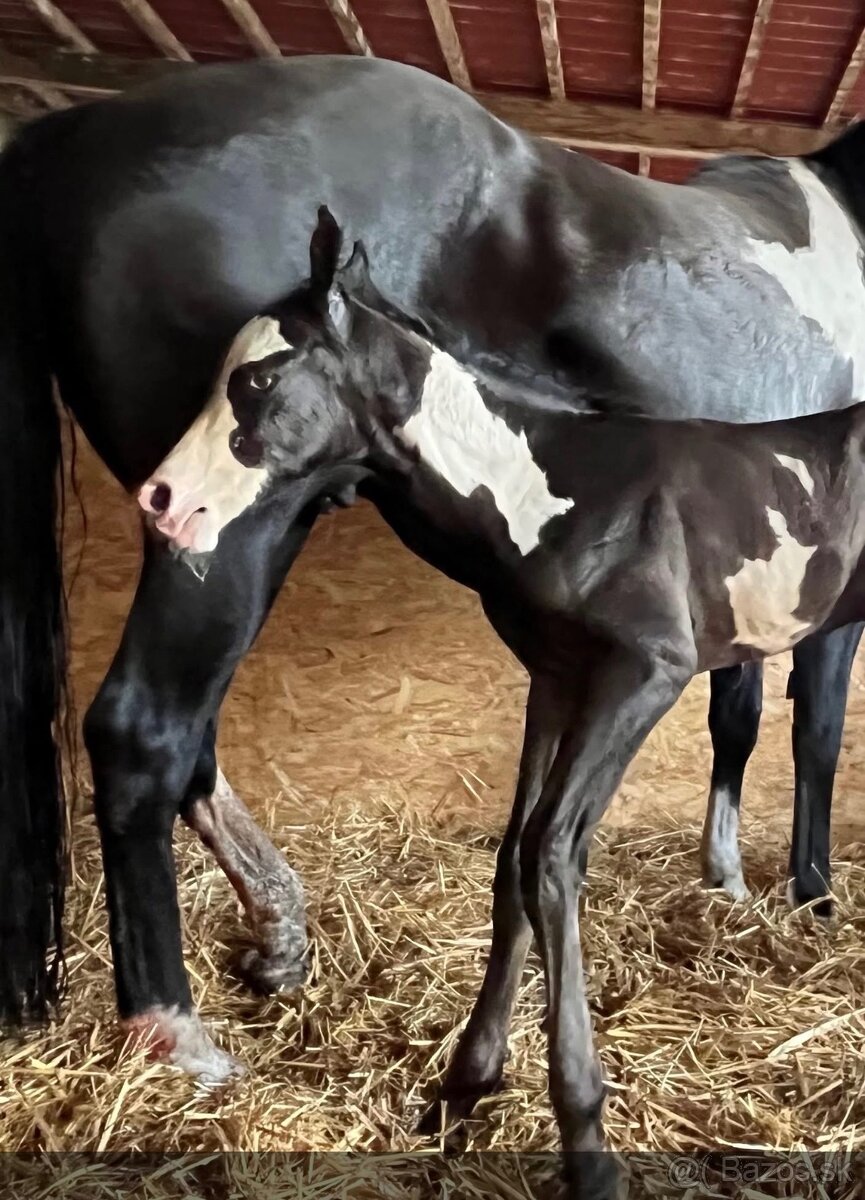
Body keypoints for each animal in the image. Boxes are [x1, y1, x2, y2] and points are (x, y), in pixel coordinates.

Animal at [2, 55, 862, 1075]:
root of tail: (62, 136)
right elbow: (813, 729)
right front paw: (808, 894)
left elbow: (737, 716)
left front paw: (724, 880)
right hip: (228, 531)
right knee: (145, 730)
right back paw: (178, 1031)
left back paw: (278, 939)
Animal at [145, 206, 865, 1194]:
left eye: (255, 378)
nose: (161, 501)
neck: (554, 495)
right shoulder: (556, 680)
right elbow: (512, 860)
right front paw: (462, 1088)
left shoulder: (642, 674)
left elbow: (551, 855)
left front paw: (584, 1140)